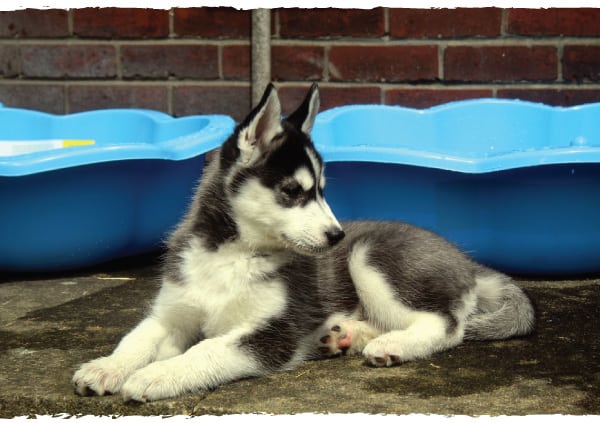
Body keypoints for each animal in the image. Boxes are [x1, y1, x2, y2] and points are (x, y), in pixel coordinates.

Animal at [71, 83, 536, 404]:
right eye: (293, 191)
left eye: (323, 191)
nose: (337, 236)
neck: (231, 255)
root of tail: (467, 262)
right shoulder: (172, 313)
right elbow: (136, 337)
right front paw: (106, 367)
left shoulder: (270, 333)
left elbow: (206, 349)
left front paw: (157, 375)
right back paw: (342, 337)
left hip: (371, 257)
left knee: (447, 325)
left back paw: (392, 345)